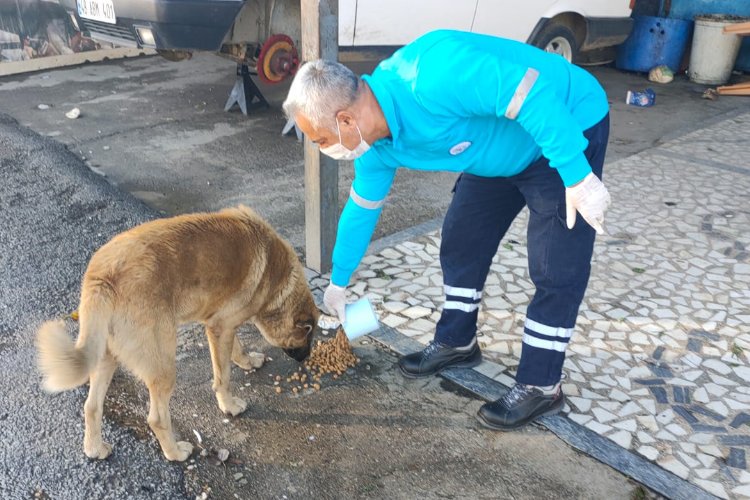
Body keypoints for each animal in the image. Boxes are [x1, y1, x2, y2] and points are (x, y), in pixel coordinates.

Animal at [36, 206, 318, 460]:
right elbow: (223, 377)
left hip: (106, 357)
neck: (276, 275)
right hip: (163, 366)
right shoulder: (220, 327)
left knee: (92, 406)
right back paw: (176, 453)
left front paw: (247, 361)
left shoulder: (222, 326)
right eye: (307, 337)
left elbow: (237, 348)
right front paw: (229, 405)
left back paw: (94, 449)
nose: (306, 358)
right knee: (157, 418)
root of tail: (102, 277)